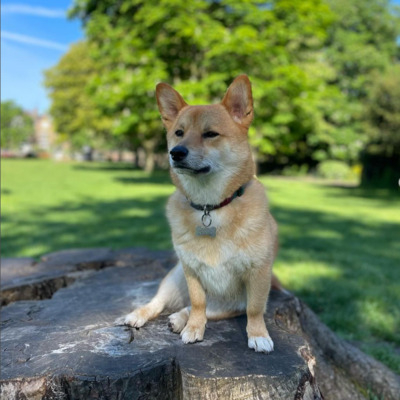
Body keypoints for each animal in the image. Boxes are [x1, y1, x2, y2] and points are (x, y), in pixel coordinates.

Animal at [123, 75, 280, 354]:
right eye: (179, 133)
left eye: (210, 134)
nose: (176, 152)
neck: (211, 206)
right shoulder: (191, 270)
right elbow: (197, 303)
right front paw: (194, 329)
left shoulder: (258, 273)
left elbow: (255, 309)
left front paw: (258, 335)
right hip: (174, 278)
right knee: (161, 303)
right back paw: (142, 314)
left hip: (229, 304)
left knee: (198, 308)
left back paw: (178, 319)